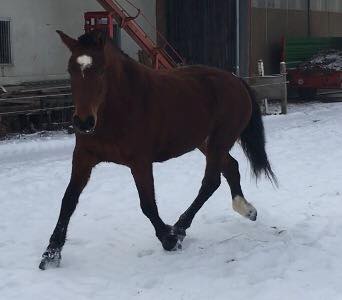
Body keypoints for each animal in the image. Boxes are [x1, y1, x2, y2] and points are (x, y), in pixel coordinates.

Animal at [39, 30, 276, 270]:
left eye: (102, 70)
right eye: (70, 70)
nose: (84, 122)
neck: (119, 108)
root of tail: (236, 80)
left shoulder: (140, 162)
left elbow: (148, 204)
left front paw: (168, 238)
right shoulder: (83, 158)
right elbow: (68, 200)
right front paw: (51, 253)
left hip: (219, 141)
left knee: (211, 181)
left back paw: (180, 228)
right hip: (205, 143)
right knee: (230, 167)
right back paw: (247, 210)